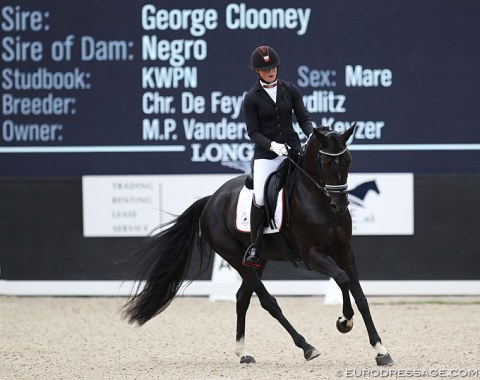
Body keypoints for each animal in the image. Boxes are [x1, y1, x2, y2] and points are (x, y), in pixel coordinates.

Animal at [123, 126, 394, 366]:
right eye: (326, 162)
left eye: (348, 160)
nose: (339, 205)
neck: (318, 201)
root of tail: (211, 200)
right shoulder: (312, 256)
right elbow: (342, 279)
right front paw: (344, 321)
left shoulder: (345, 252)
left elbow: (360, 296)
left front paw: (381, 351)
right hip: (235, 259)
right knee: (268, 302)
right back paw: (306, 347)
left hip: (258, 260)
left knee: (242, 298)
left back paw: (244, 353)